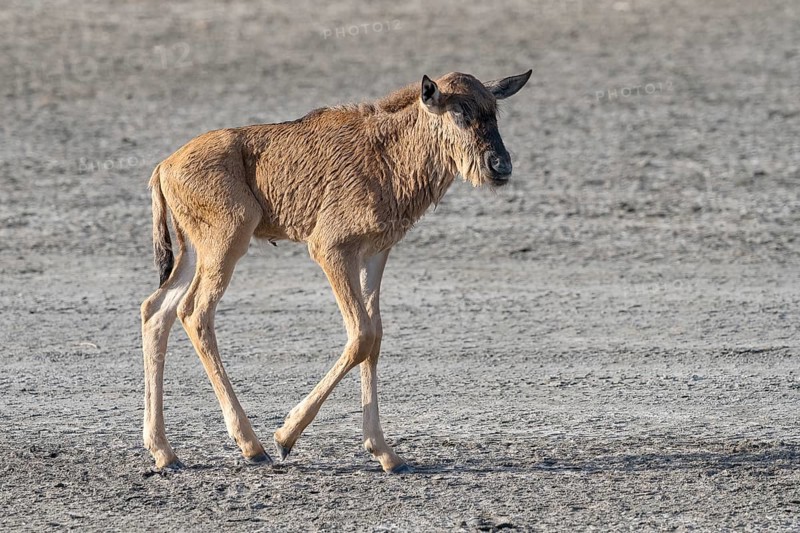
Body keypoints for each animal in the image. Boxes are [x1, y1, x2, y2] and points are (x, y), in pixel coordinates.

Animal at [140, 70, 532, 473]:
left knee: (156, 310)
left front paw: (386, 453)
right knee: (195, 313)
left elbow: (375, 337)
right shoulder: (331, 250)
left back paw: (164, 452)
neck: (387, 153)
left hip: (193, 251)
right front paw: (285, 437)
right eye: (457, 112)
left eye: (493, 110)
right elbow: (361, 335)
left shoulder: (374, 254)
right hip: (226, 243)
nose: (500, 166)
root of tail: (164, 167)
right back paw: (252, 446)